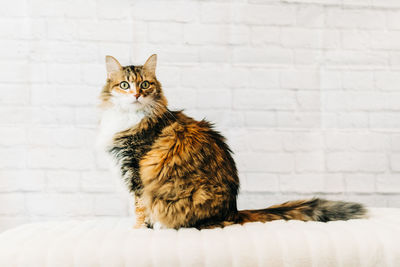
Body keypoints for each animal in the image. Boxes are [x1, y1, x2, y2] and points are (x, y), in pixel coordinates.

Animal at [98, 54, 368, 230]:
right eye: (124, 85)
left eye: (145, 84)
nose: (136, 94)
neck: (128, 118)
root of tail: (233, 210)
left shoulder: (136, 170)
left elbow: (140, 208)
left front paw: (138, 230)